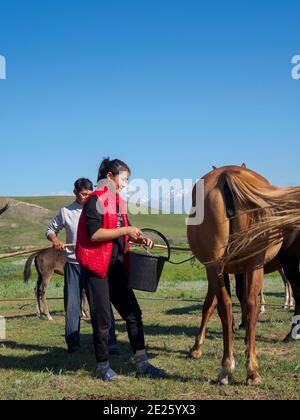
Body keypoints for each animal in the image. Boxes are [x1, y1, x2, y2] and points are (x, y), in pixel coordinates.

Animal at [189, 162, 300, 386]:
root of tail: (227, 173)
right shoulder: (238, 270)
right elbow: (241, 299)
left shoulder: (215, 270)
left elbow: (209, 305)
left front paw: (197, 346)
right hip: (255, 264)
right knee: (250, 304)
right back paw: (251, 369)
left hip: (222, 267)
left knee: (226, 305)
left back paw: (227, 367)